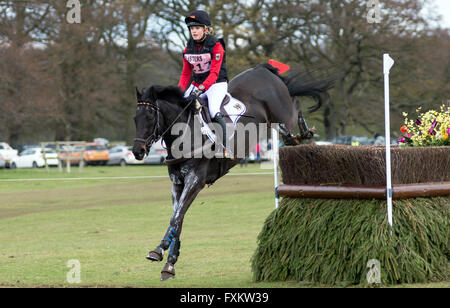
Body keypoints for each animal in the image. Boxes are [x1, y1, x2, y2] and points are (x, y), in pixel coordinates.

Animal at [132, 62, 332, 280]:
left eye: (150, 117)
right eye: (135, 118)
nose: (137, 151)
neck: (185, 134)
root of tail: (262, 69)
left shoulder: (195, 180)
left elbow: (176, 218)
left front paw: (160, 250)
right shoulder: (178, 183)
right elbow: (178, 218)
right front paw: (169, 262)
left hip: (283, 112)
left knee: (295, 106)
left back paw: (303, 133)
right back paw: (295, 137)